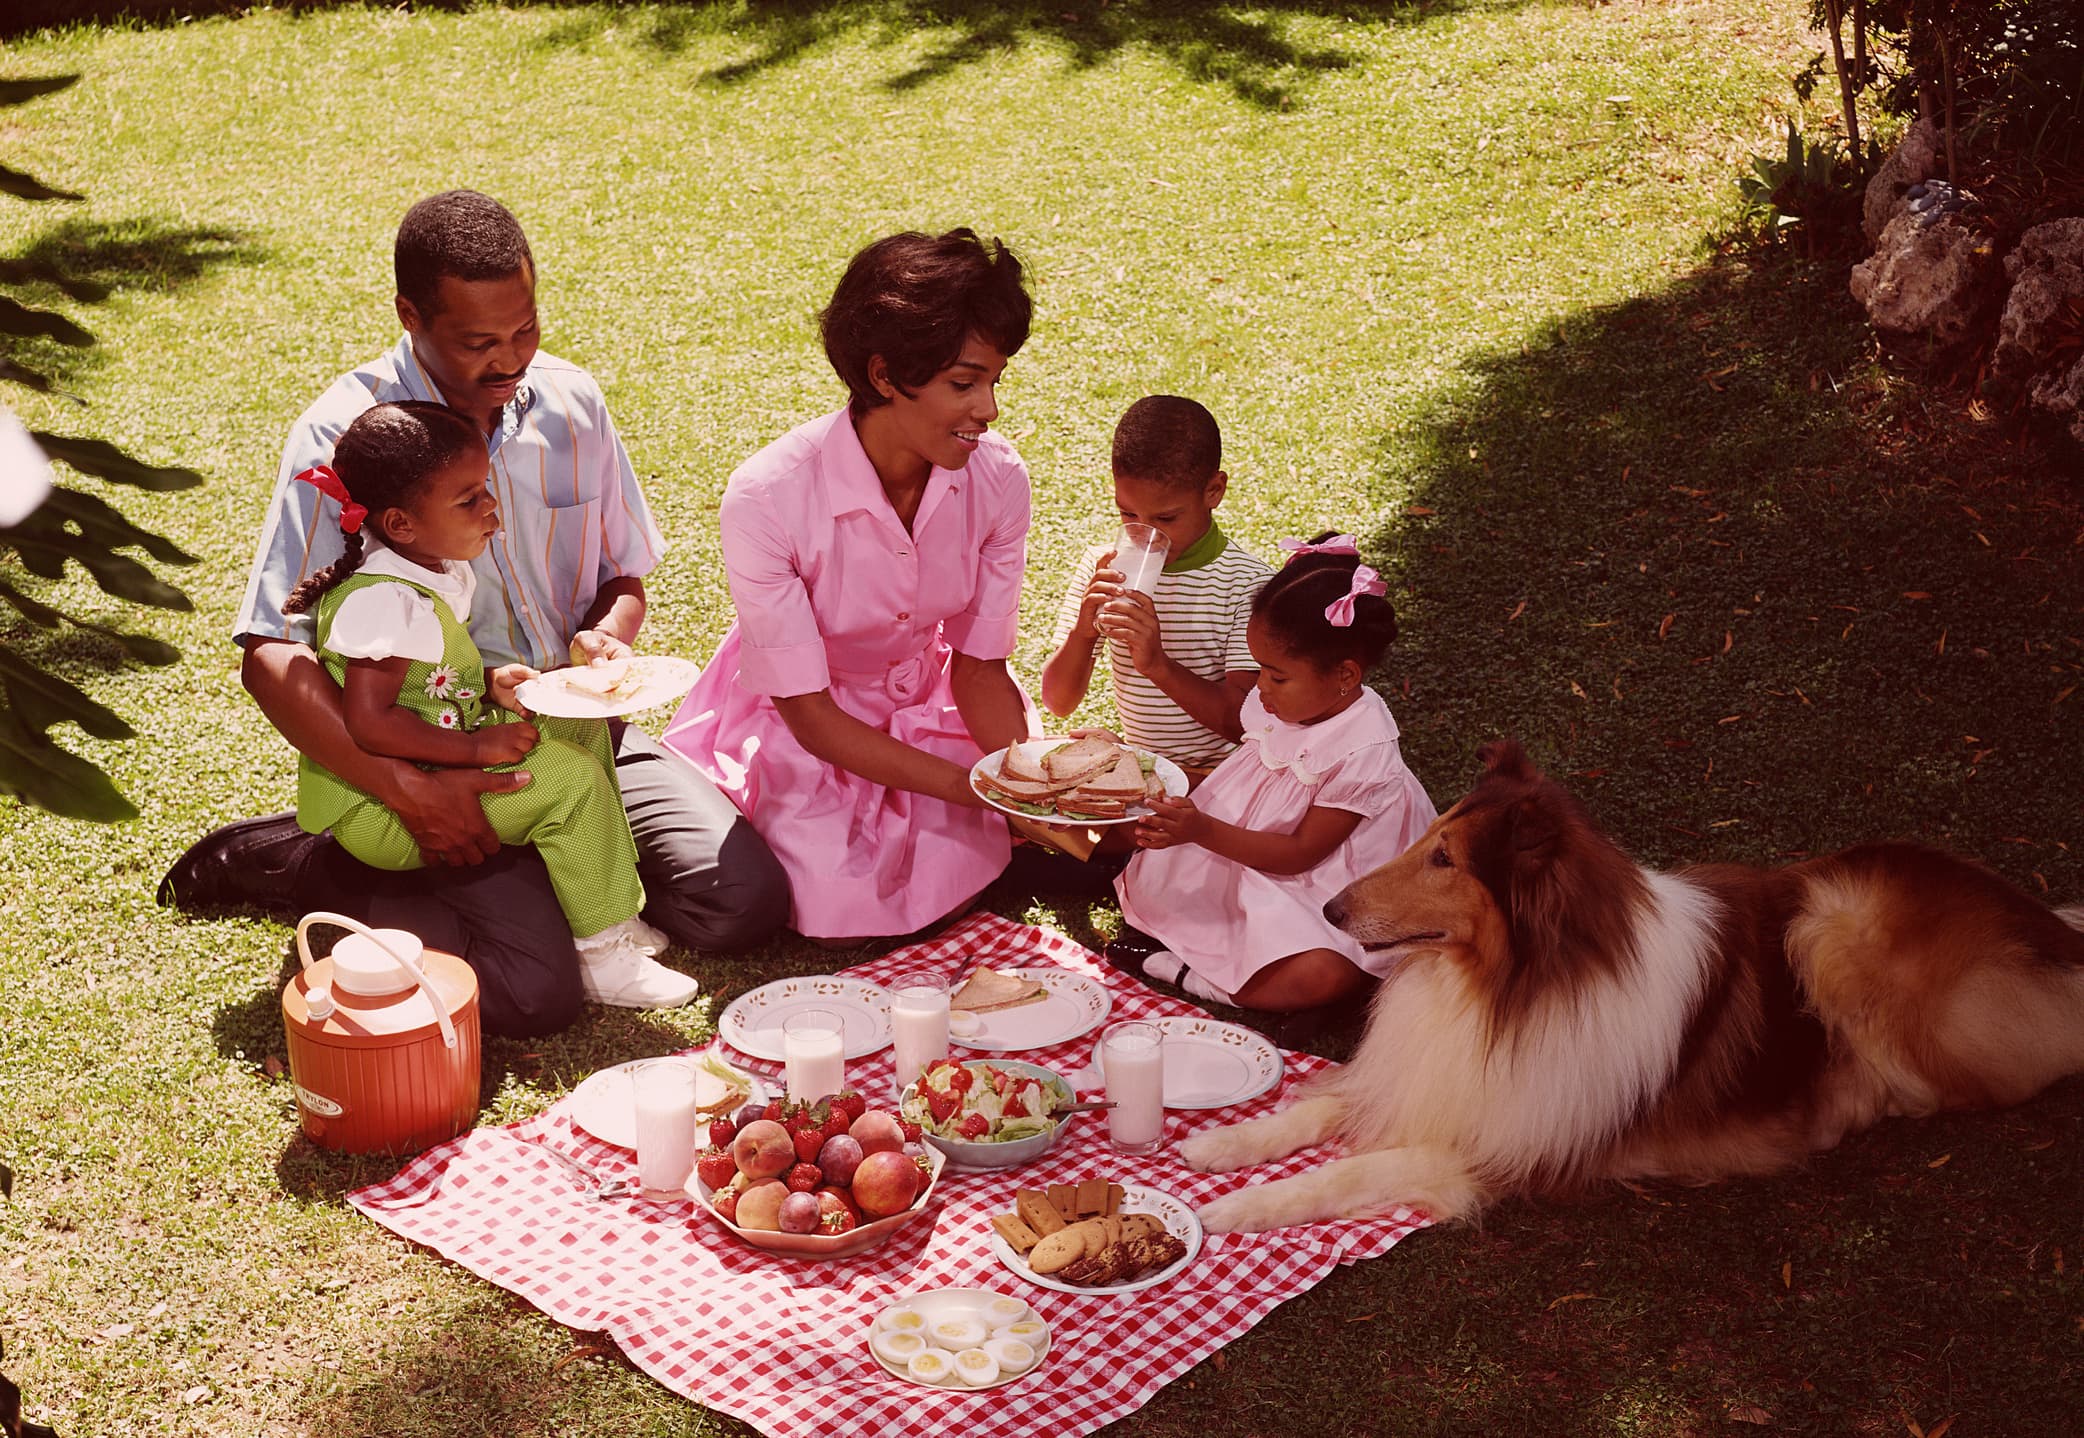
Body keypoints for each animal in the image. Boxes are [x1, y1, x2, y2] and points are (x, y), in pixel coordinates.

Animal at [1183, 746, 2084, 1225]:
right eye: (1428, 837)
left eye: (1444, 859)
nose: (1331, 908)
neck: (1506, 991)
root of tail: (2050, 925)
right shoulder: (1433, 1080)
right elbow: (1324, 1106)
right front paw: (1220, 1147)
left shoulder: (1513, 1147)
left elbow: (1351, 1172)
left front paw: (1240, 1210)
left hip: (1835, 921)